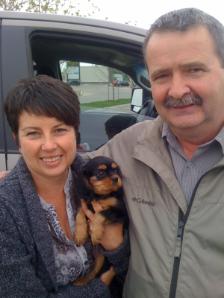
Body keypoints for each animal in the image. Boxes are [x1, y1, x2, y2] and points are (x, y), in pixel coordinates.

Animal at [74, 155, 129, 286]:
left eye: (115, 170)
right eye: (100, 172)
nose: (116, 178)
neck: (100, 196)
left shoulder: (120, 212)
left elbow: (100, 214)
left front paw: (95, 233)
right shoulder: (85, 203)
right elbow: (79, 213)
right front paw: (80, 234)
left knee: (114, 268)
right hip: (100, 257)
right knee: (94, 271)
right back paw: (80, 281)